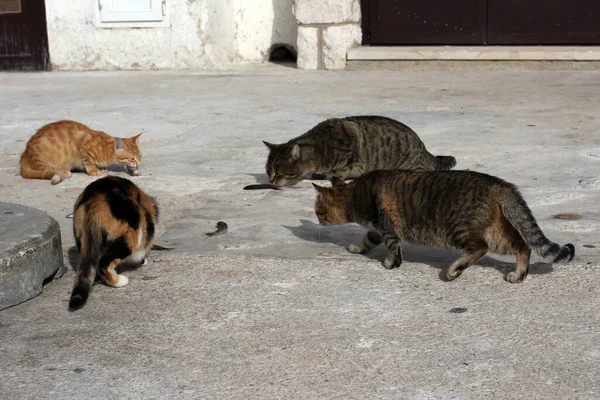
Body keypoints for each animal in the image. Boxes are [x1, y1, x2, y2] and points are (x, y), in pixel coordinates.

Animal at [69, 177, 158, 310]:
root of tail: (94, 201)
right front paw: (142, 260)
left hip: (83, 239)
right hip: (129, 239)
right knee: (104, 263)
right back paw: (119, 281)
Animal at [262, 115, 454, 185]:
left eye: (278, 173)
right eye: (268, 171)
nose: (270, 181)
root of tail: (424, 149)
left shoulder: (349, 147)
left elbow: (341, 170)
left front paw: (335, 177)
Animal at [312, 170, 576, 282]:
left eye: (317, 209)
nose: (317, 219)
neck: (355, 194)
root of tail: (501, 185)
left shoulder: (386, 227)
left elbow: (392, 249)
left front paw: (389, 264)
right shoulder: (377, 229)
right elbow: (367, 240)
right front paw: (356, 248)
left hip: (458, 230)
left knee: (480, 248)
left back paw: (454, 269)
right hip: (498, 233)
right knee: (524, 246)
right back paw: (518, 275)